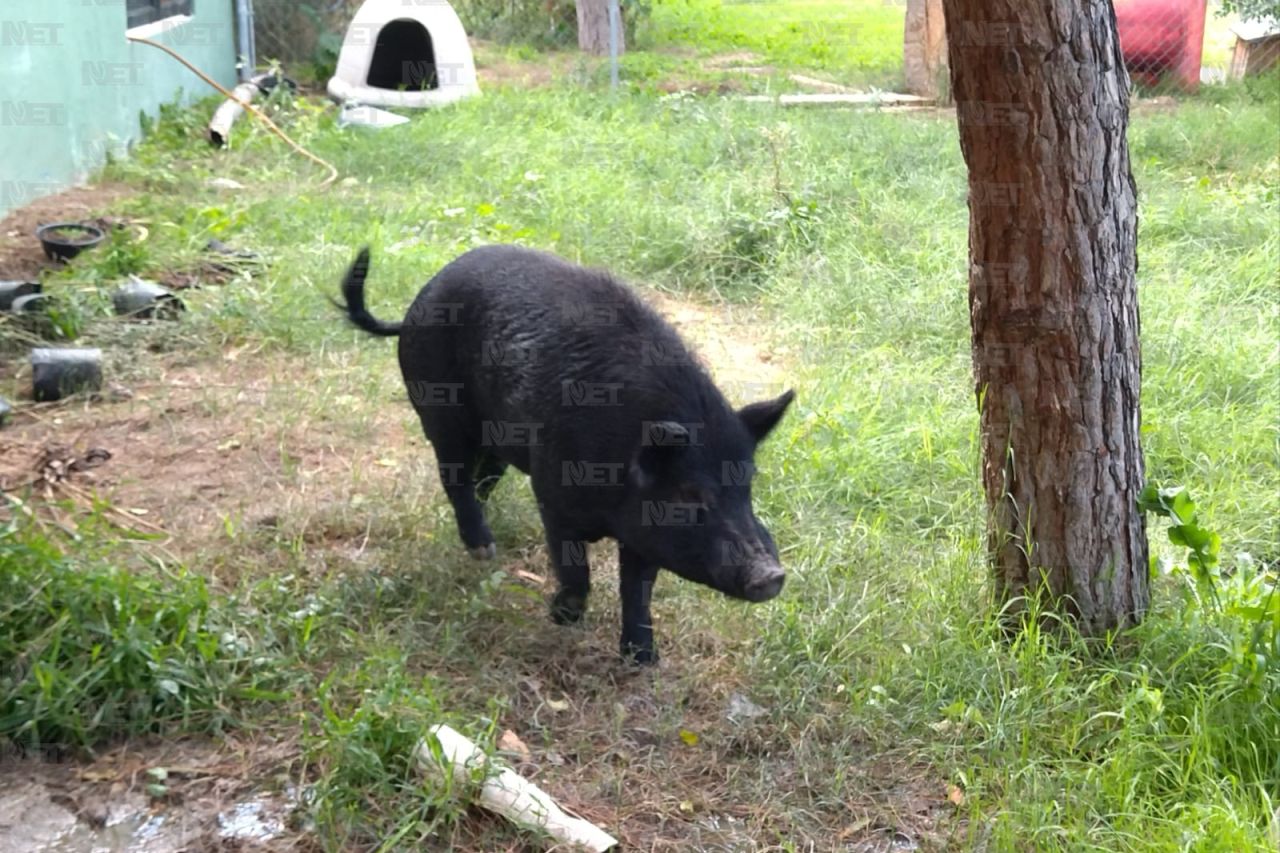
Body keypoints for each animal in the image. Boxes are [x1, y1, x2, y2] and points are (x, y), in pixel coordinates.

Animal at [335, 242, 793, 660]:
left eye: (747, 487)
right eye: (689, 496)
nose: (770, 575)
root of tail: (418, 302)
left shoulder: (645, 531)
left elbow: (638, 588)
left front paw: (643, 658)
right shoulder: (551, 493)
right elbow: (575, 567)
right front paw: (562, 618)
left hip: (496, 437)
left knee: (483, 477)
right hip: (439, 409)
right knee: (454, 476)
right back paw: (483, 549)